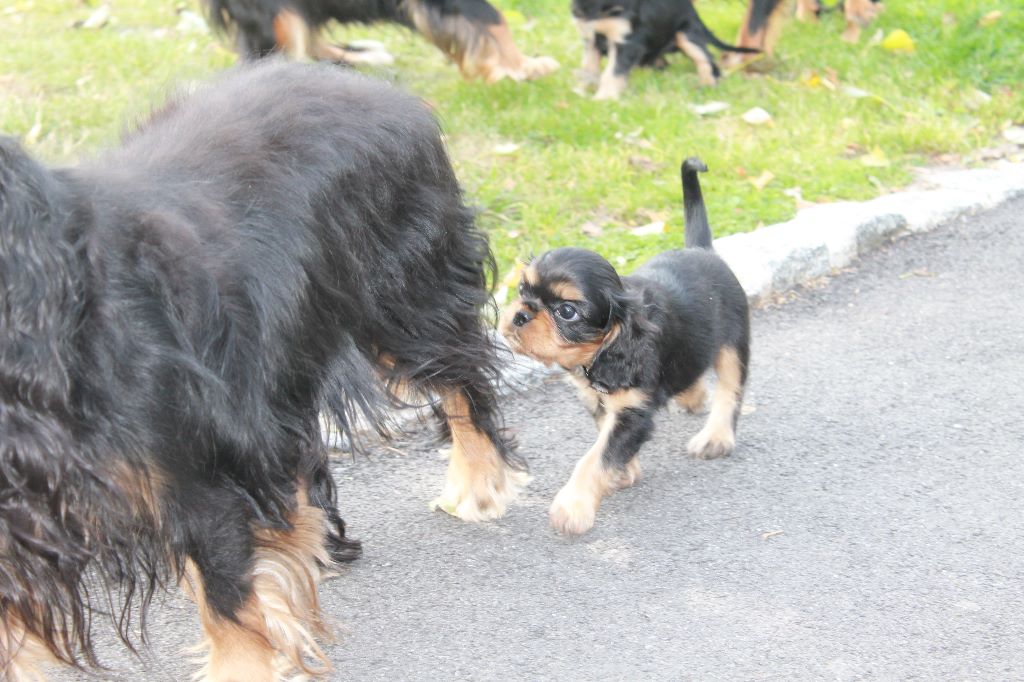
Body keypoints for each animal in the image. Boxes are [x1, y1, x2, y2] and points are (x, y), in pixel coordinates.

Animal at [0, 61, 524, 675]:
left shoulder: (197, 468)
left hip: (402, 297)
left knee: (463, 377)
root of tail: (379, 88)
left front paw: (246, 665)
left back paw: (478, 482)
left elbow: (227, 598)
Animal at [499, 156, 749, 532]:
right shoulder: (597, 399)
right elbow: (606, 438)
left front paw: (573, 506)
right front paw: (622, 472)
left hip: (734, 344)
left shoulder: (634, 410)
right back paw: (691, 397)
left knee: (730, 388)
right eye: (521, 290)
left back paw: (716, 437)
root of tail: (702, 249)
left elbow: (597, 455)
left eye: (567, 311)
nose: (519, 315)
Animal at [573, 0, 757, 99]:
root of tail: (694, 13)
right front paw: (581, 91)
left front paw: (604, 98)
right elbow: (588, 69)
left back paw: (707, 85)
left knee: (706, 60)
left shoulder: (627, 42)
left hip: (686, 35)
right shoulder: (589, 39)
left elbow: (612, 73)